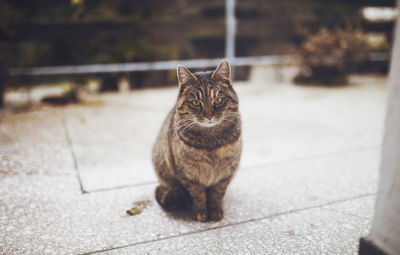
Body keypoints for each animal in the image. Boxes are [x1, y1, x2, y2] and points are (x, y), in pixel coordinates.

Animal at [152, 59, 241, 221]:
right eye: (195, 103)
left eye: (218, 100)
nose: (209, 115)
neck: (211, 142)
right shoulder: (189, 175)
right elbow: (198, 194)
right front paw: (201, 212)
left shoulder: (225, 174)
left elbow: (217, 193)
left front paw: (215, 210)